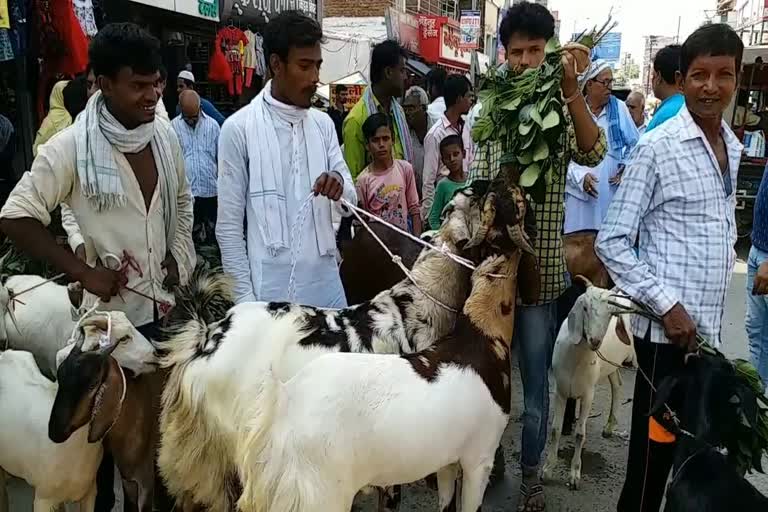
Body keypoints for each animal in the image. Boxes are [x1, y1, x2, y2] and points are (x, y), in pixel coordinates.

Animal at [540, 280, 636, 488]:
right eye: (585, 308)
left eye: (611, 313)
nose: (595, 341)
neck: (576, 358)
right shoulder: (560, 390)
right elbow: (555, 430)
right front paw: (547, 470)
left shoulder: (588, 394)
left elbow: (579, 435)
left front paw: (575, 475)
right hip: (610, 364)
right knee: (617, 384)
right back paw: (609, 426)